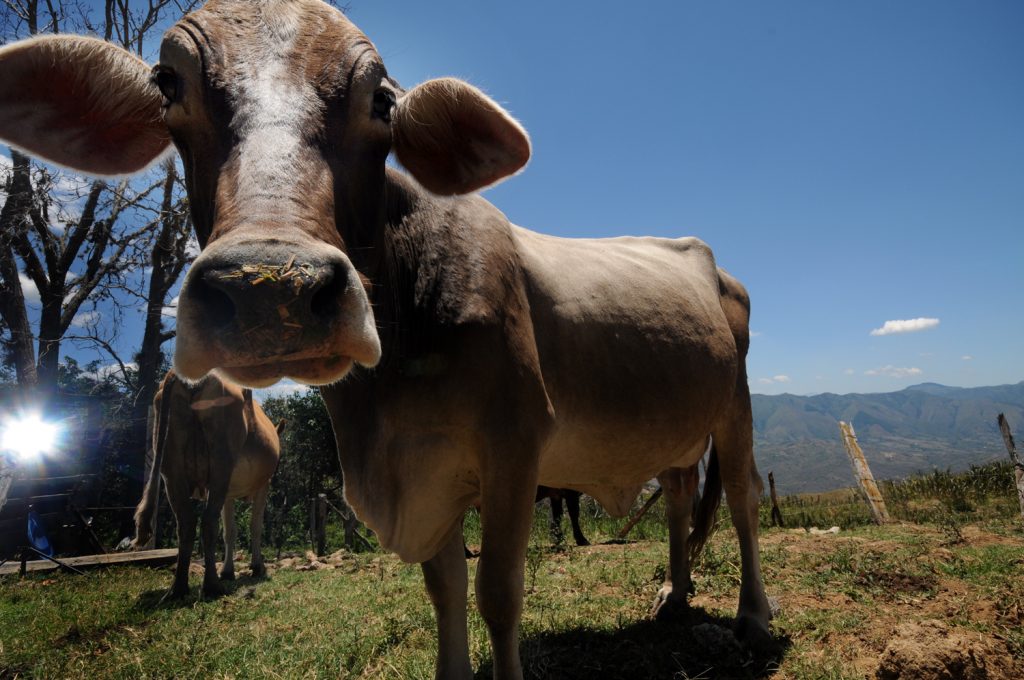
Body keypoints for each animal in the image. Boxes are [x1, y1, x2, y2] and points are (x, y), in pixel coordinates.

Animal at [133, 370, 282, 598]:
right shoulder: (262, 485)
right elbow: (254, 527)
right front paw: (256, 567)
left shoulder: (228, 493)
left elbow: (230, 531)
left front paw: (228, 570)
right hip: (221, 461)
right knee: (208, 521)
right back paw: (212, 586)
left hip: (171, 467)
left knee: (186, 522)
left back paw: (179, 588)